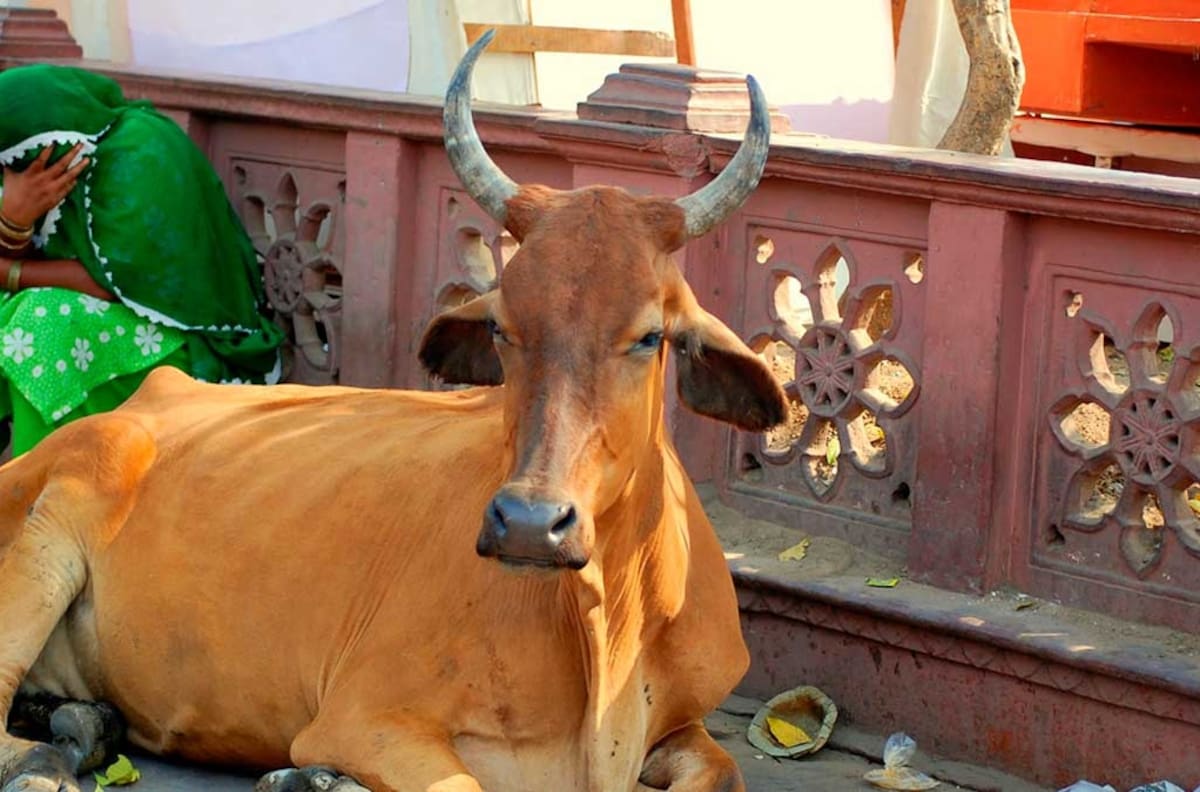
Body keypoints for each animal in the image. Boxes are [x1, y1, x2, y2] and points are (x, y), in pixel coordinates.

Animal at [0, 30, 785, 792]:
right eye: (501, 327)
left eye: (650, 336)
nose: (531, 524)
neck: (602, 625)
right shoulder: (365, 719)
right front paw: (315, 774)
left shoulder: (684, 730)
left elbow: (721, 773)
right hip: (47, 539)